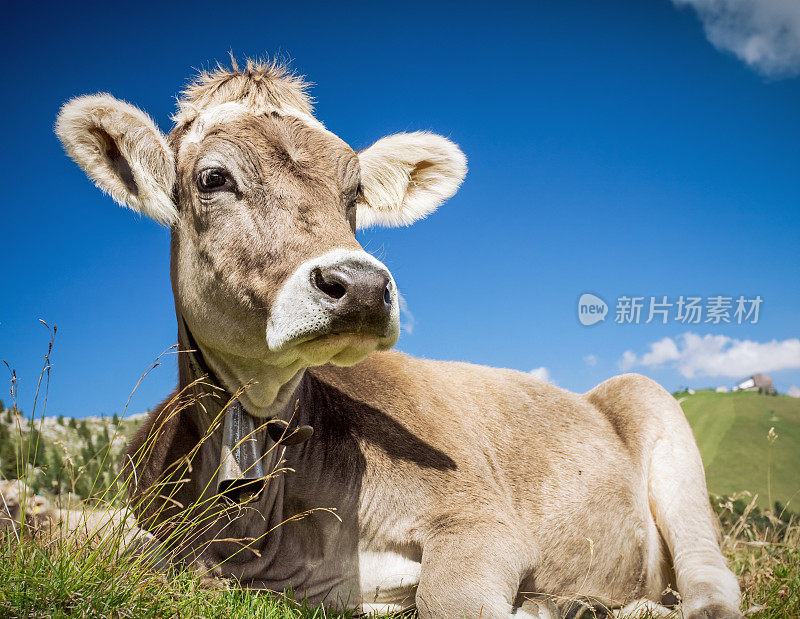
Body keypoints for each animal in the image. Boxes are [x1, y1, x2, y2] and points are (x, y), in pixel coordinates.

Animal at [56, 59, 740, 619]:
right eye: (214, 179)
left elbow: (449, 600)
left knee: (710, 582)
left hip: (656, 411)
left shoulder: (481, 519)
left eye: (354, 191)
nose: (359, 285)